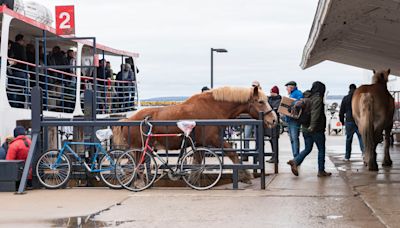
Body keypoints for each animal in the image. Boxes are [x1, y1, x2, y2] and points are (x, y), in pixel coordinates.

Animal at [111, 85, 276, 183]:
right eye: (261, 101)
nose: (274, 119)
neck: (213, 107)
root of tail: (129, 119)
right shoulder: (214, 140)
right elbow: (232, 153)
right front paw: (245, 175)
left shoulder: (199, 144)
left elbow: (197, 163)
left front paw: (193, 180)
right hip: (138, 149)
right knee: (134, 167)